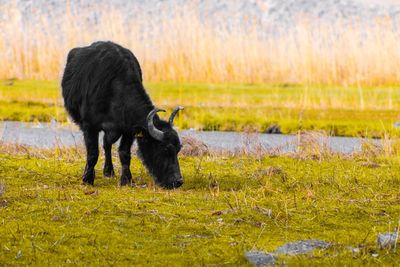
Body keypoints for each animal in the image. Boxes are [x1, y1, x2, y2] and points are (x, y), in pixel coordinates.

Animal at [61, 41, 184, 188]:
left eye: (178, 149)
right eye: (165, 149)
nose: (178, 181)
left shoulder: (129, 130)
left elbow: (124, 153)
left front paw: (126, 179)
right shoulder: (90, 127)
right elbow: (92, 153)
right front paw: (87, 179)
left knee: (106, 144)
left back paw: (109, 171)